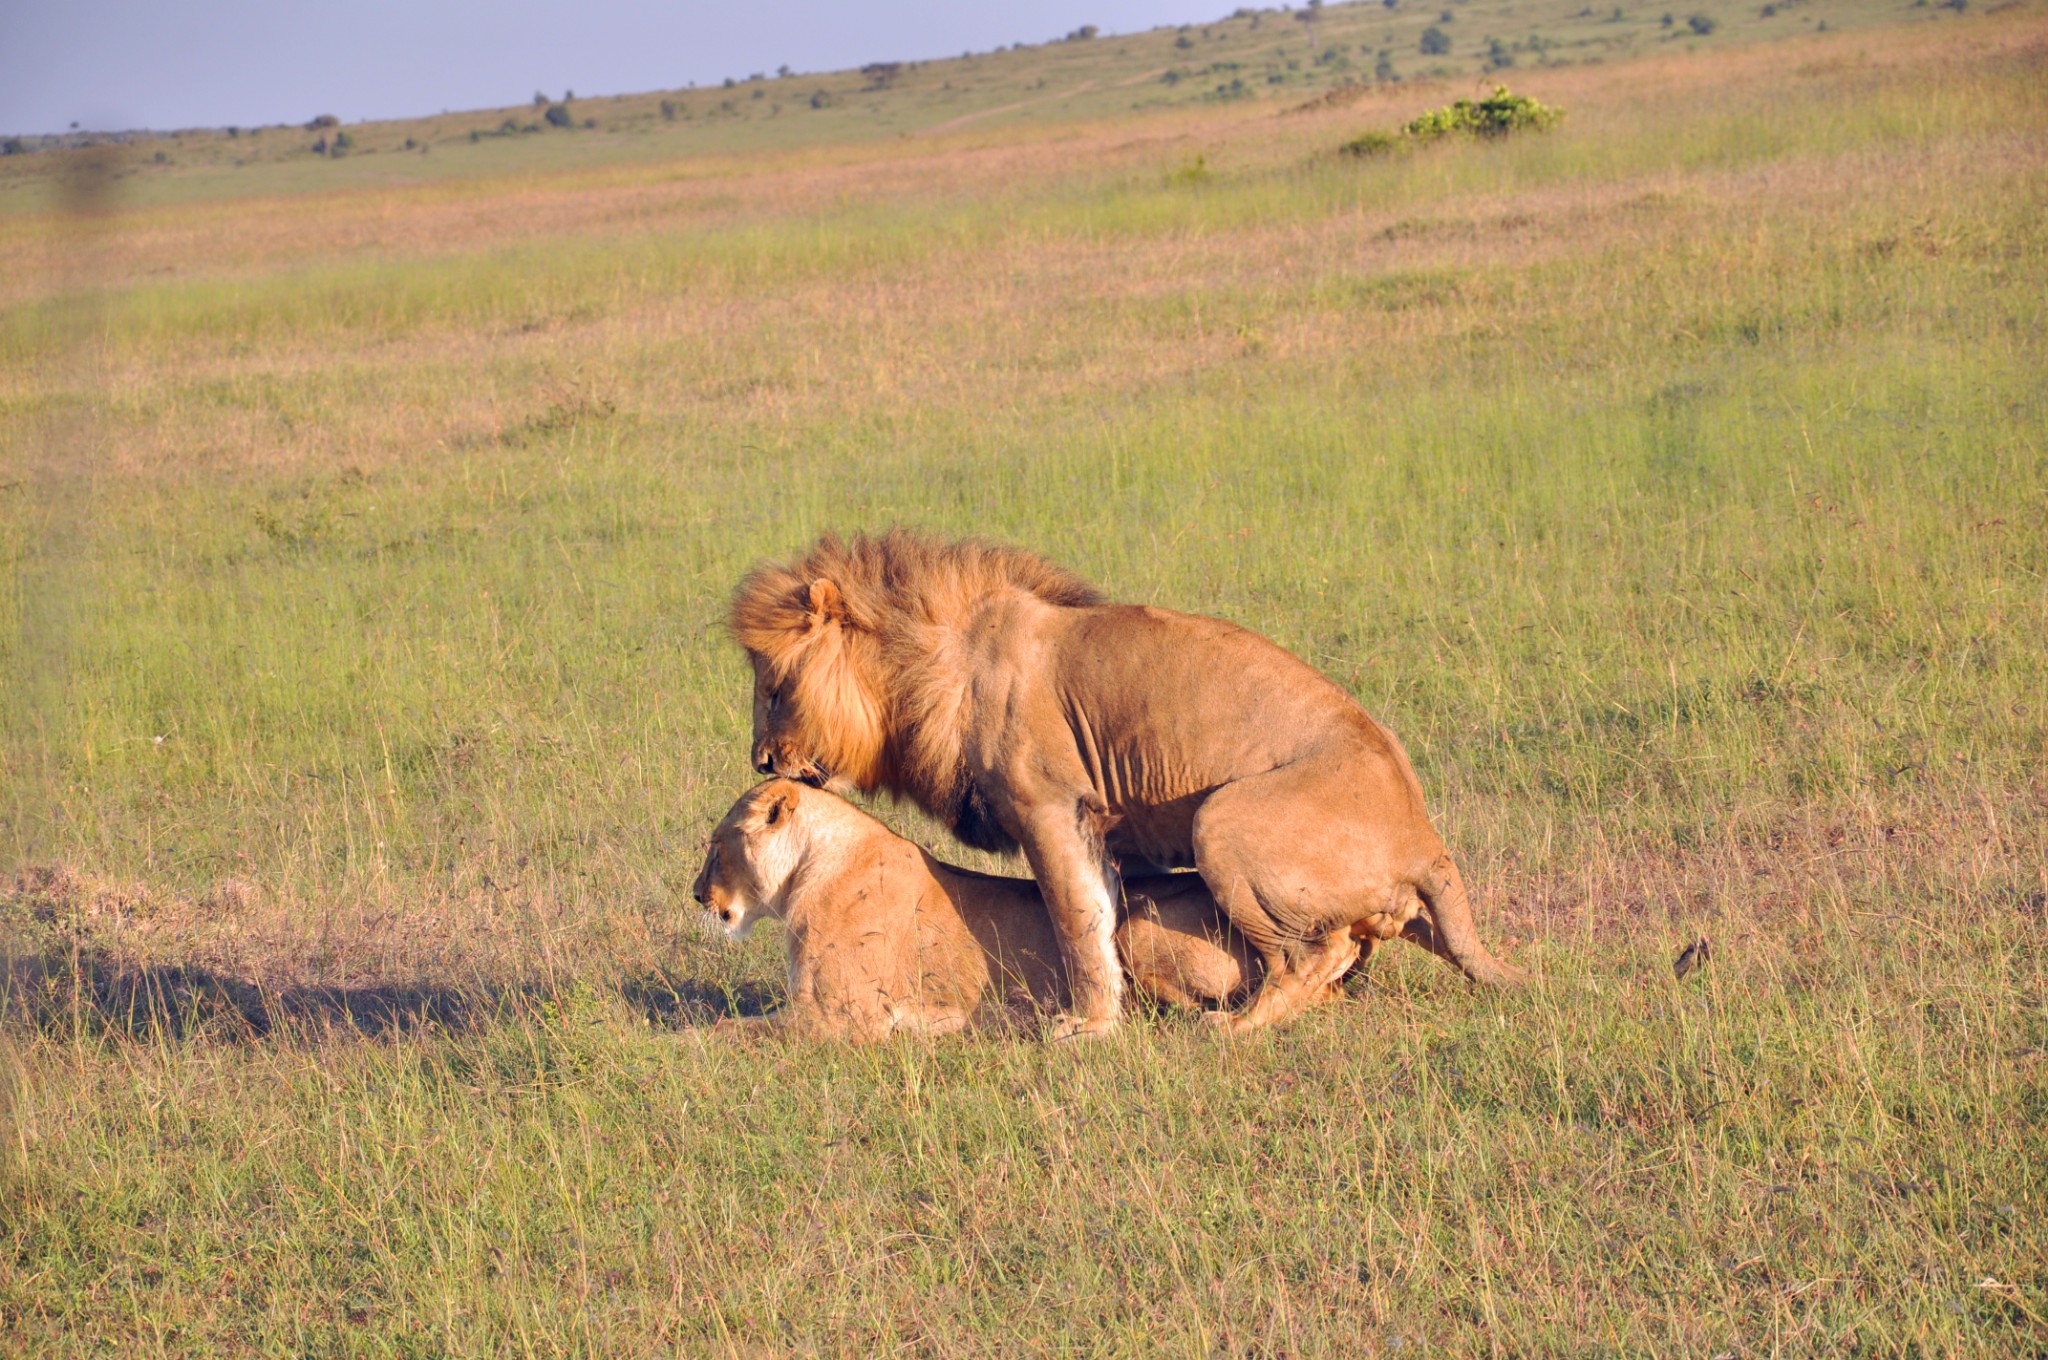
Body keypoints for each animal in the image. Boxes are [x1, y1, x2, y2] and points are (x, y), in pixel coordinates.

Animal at [696, 774, 1253, 1040]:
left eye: (716, 846)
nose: (697, 894)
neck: (805, 870)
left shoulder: (844, 1019)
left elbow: (727, 1030)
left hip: (1132, 932)